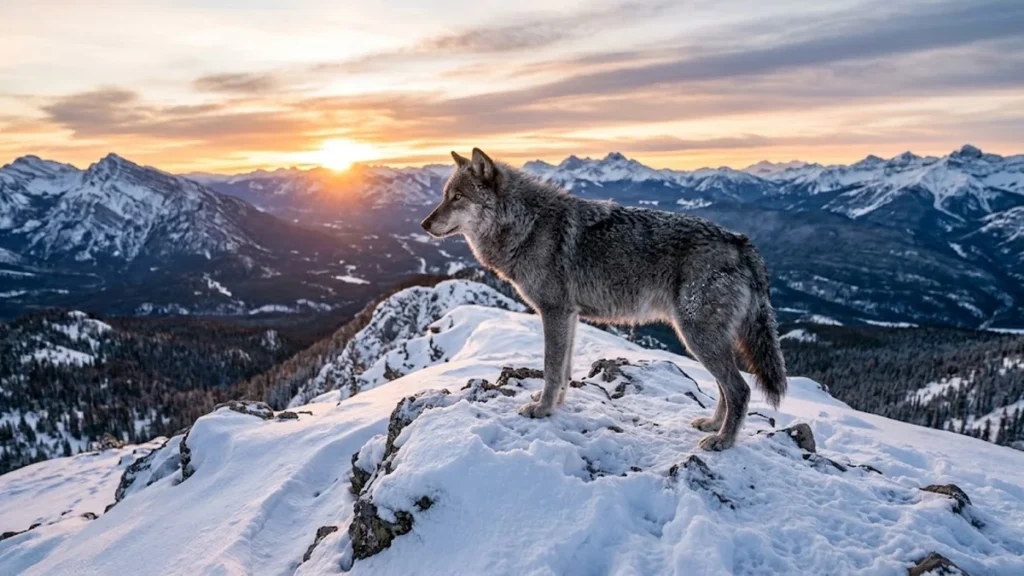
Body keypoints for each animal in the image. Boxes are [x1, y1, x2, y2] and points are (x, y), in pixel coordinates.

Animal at [422, 149, 787, 450]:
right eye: (444, 196)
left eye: (457, 197)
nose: (424, 223)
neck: (527, 224)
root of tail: (741, 242)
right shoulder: (569, 316)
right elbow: (563, 371)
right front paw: (555, 405)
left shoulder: (553, 312)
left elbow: (551, 368)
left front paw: (541, 409)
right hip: (701, 339)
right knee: (726, 388)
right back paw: (711, 425)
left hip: (697, 337)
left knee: (740, 389)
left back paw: (723, 441)